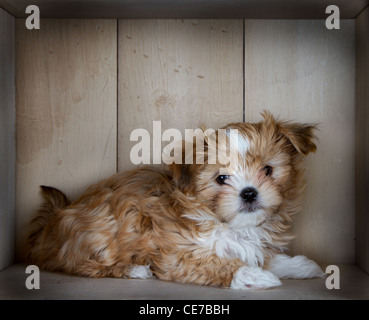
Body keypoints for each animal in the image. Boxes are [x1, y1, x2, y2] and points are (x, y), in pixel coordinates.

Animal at [27, 112, 324, 290]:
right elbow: (215, 263)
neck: (230, 225)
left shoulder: (251, 245)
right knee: (83, 265)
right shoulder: (176, 253)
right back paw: (135, 270)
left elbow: (261, 255)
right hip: (102, 231)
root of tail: (57, 217)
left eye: (268, 170)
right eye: (221, 178)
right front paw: (253, 275)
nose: (249, 192)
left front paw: (299, 265)